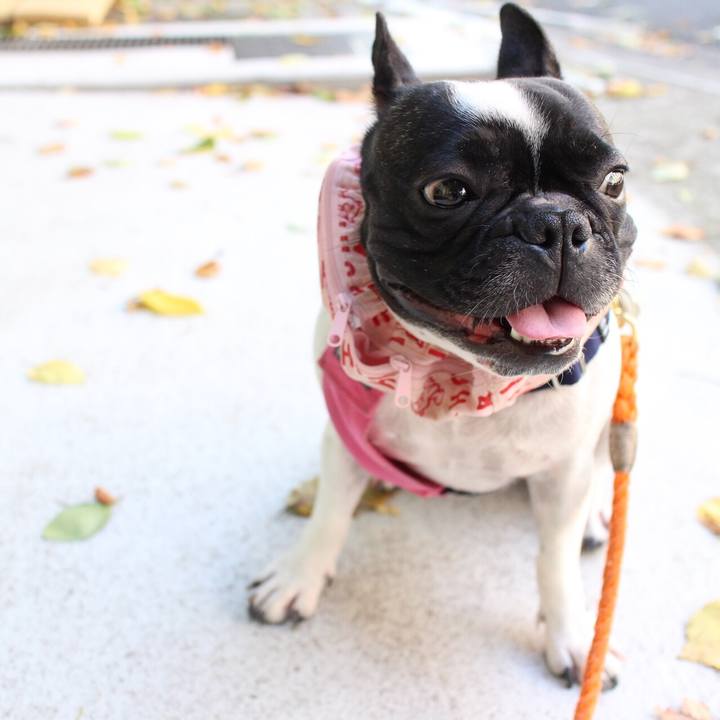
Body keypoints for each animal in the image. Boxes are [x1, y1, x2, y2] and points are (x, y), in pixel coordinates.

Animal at [248, 3, 636, 689]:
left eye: (614, 181)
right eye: (447, 192)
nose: (558, 222)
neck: (461, 376)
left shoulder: (561, 472)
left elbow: (555, 562)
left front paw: (570, 637)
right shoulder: (346, 437)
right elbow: (331, 514)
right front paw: (299, 575)